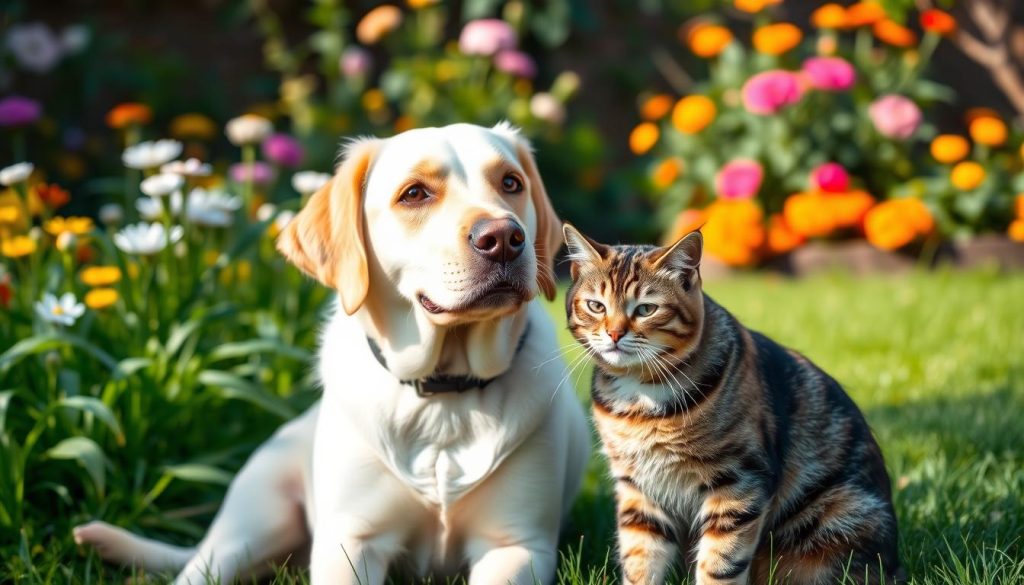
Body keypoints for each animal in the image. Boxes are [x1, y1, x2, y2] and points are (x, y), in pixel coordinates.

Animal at [74, 121, 593, 581]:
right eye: (414, 194)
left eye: (511, 183)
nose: (505, 238)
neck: (444, 392)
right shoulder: (352, 540)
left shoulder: (517, 545)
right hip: (249, 526)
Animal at [561, 225, 905, 585]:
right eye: (596, 306)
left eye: (645, 309)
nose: (613, 334)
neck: (640, 396)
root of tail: (895, 566)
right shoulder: (637, 488)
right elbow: (639, 560)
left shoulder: (739, 479)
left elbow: (719, 563)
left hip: (834, 518)